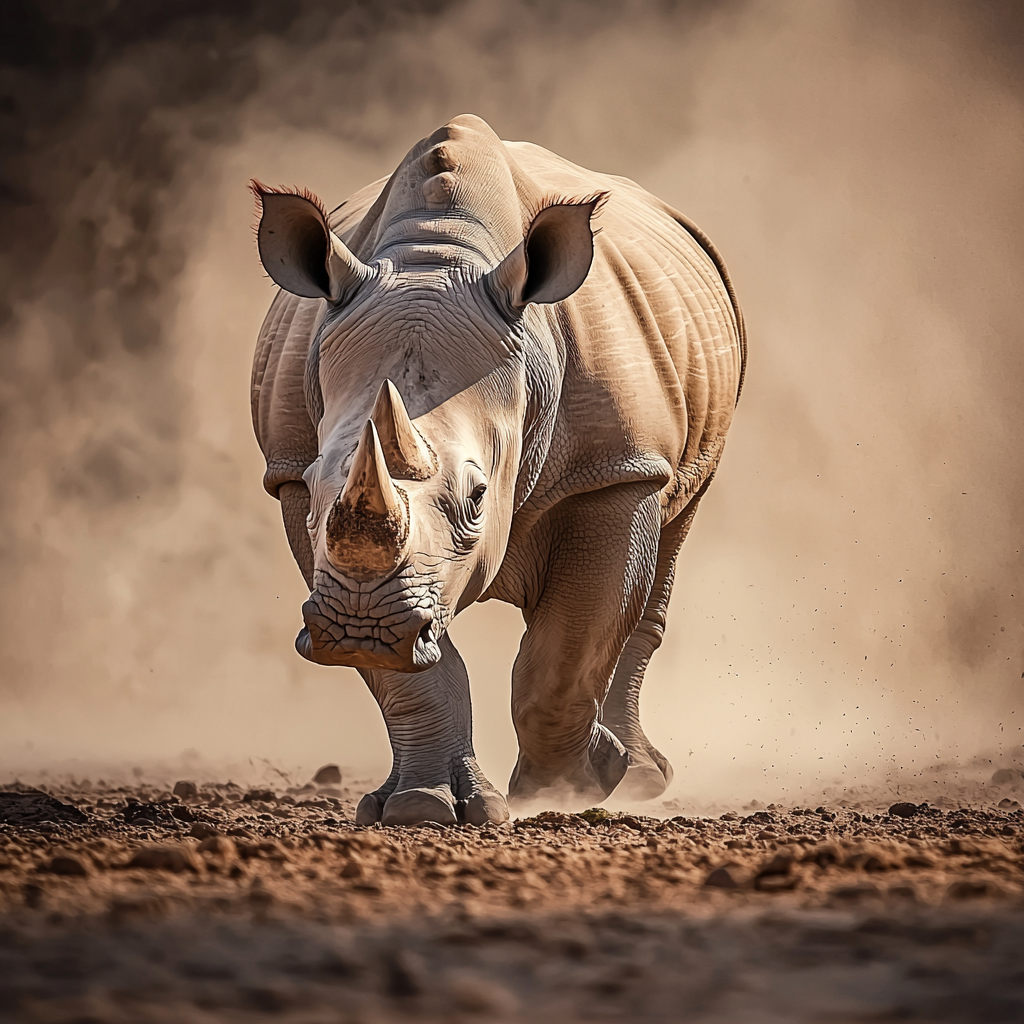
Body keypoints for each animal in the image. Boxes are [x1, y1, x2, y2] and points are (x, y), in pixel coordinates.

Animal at [247, 116, 745, 827]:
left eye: (479, 496)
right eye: (318, 490)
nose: (359, 629)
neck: (436, 259)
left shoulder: (613, 469)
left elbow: (569, 649)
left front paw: (573, 786)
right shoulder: (291, 477)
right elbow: (411, 677)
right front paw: (420, 808)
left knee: (669, 538)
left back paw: (642, 777)